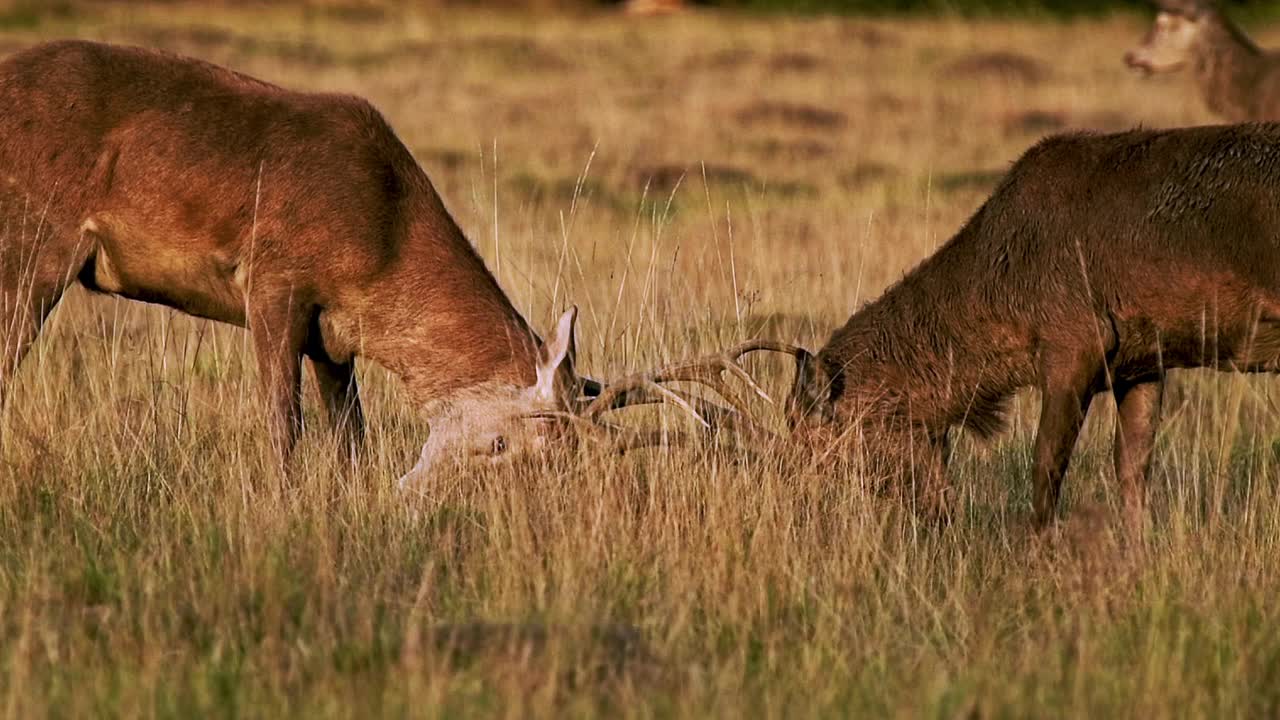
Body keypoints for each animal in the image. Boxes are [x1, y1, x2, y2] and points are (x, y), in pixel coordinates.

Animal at [778, 122, 1280, 525]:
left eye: (814, 431)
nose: (799, 498)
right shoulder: (1142, 361)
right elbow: (1132, 469)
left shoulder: (1074, 342)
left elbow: (1045, 466)